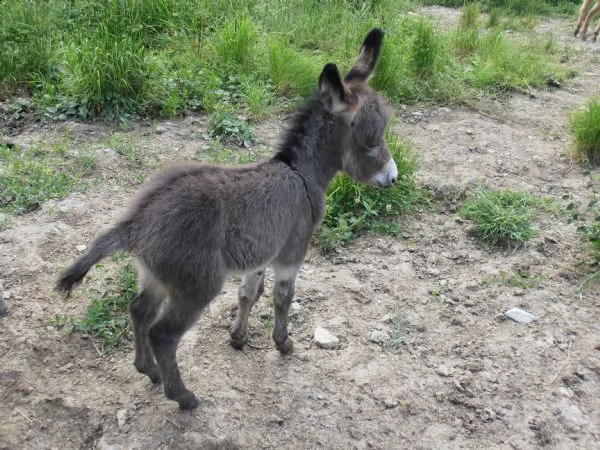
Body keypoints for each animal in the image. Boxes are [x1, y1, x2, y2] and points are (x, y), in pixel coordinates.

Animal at [55, 26, 394, 410]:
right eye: (372, 141)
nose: (393, 178)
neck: (299, 172)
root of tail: (136, 223)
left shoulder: (259, 255)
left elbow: (249, 294)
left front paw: (238, 338)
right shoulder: (291, 253)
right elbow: (282, 297)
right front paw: (283, 343)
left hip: (156, 276)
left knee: (140, 311)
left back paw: (150, 371)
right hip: (197, 286)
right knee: (163, 334)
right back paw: (183, 396)